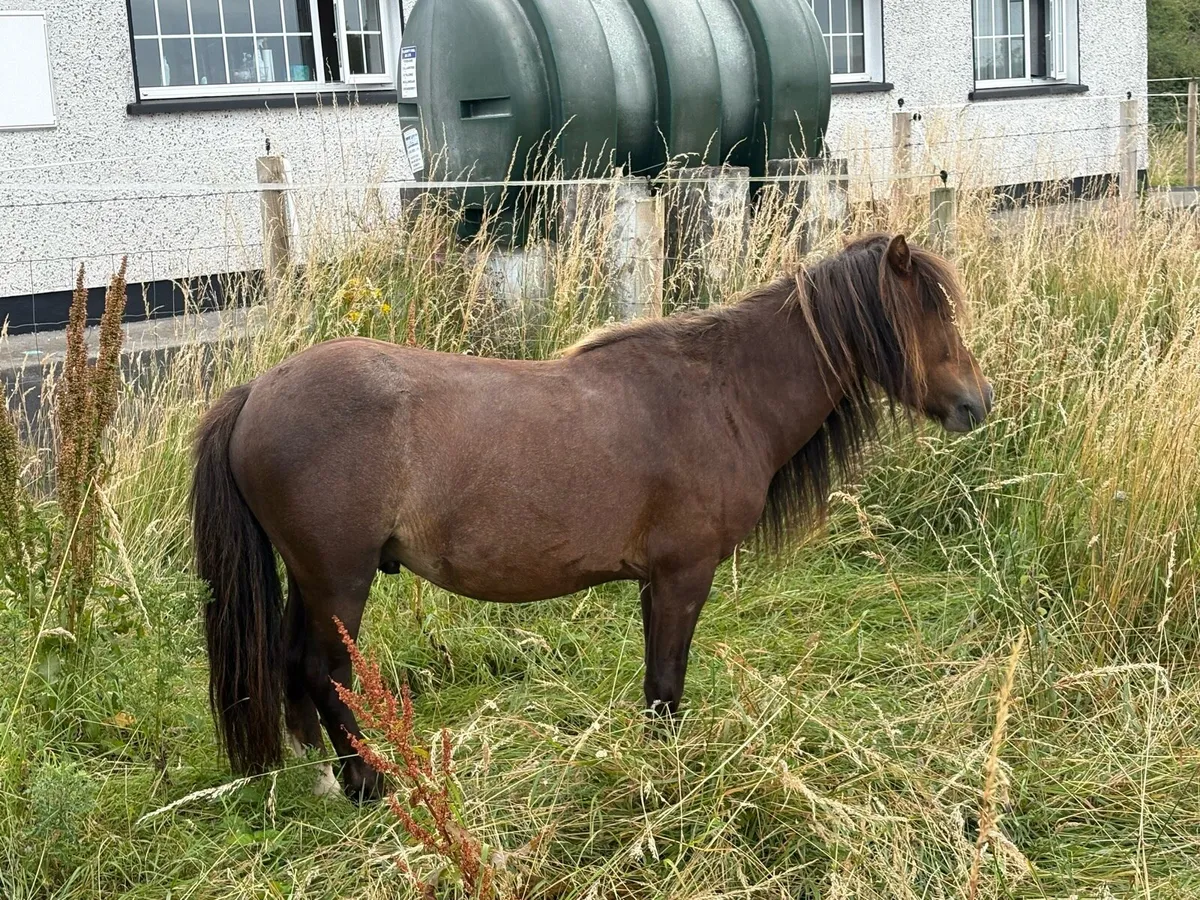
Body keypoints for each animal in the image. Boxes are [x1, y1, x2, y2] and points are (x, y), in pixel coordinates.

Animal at [191, 233, 992, 802]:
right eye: (932, 316)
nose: (976, 404)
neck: (722, 392)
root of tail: (256, 391)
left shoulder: (654, 583)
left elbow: (656, 685)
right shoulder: (683, 576)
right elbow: (667, 686)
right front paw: (667, 781)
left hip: (310, 579)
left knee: (292, 664)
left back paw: (324, 775)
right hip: (339, 580)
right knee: (324, 671)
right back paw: (367, 782)